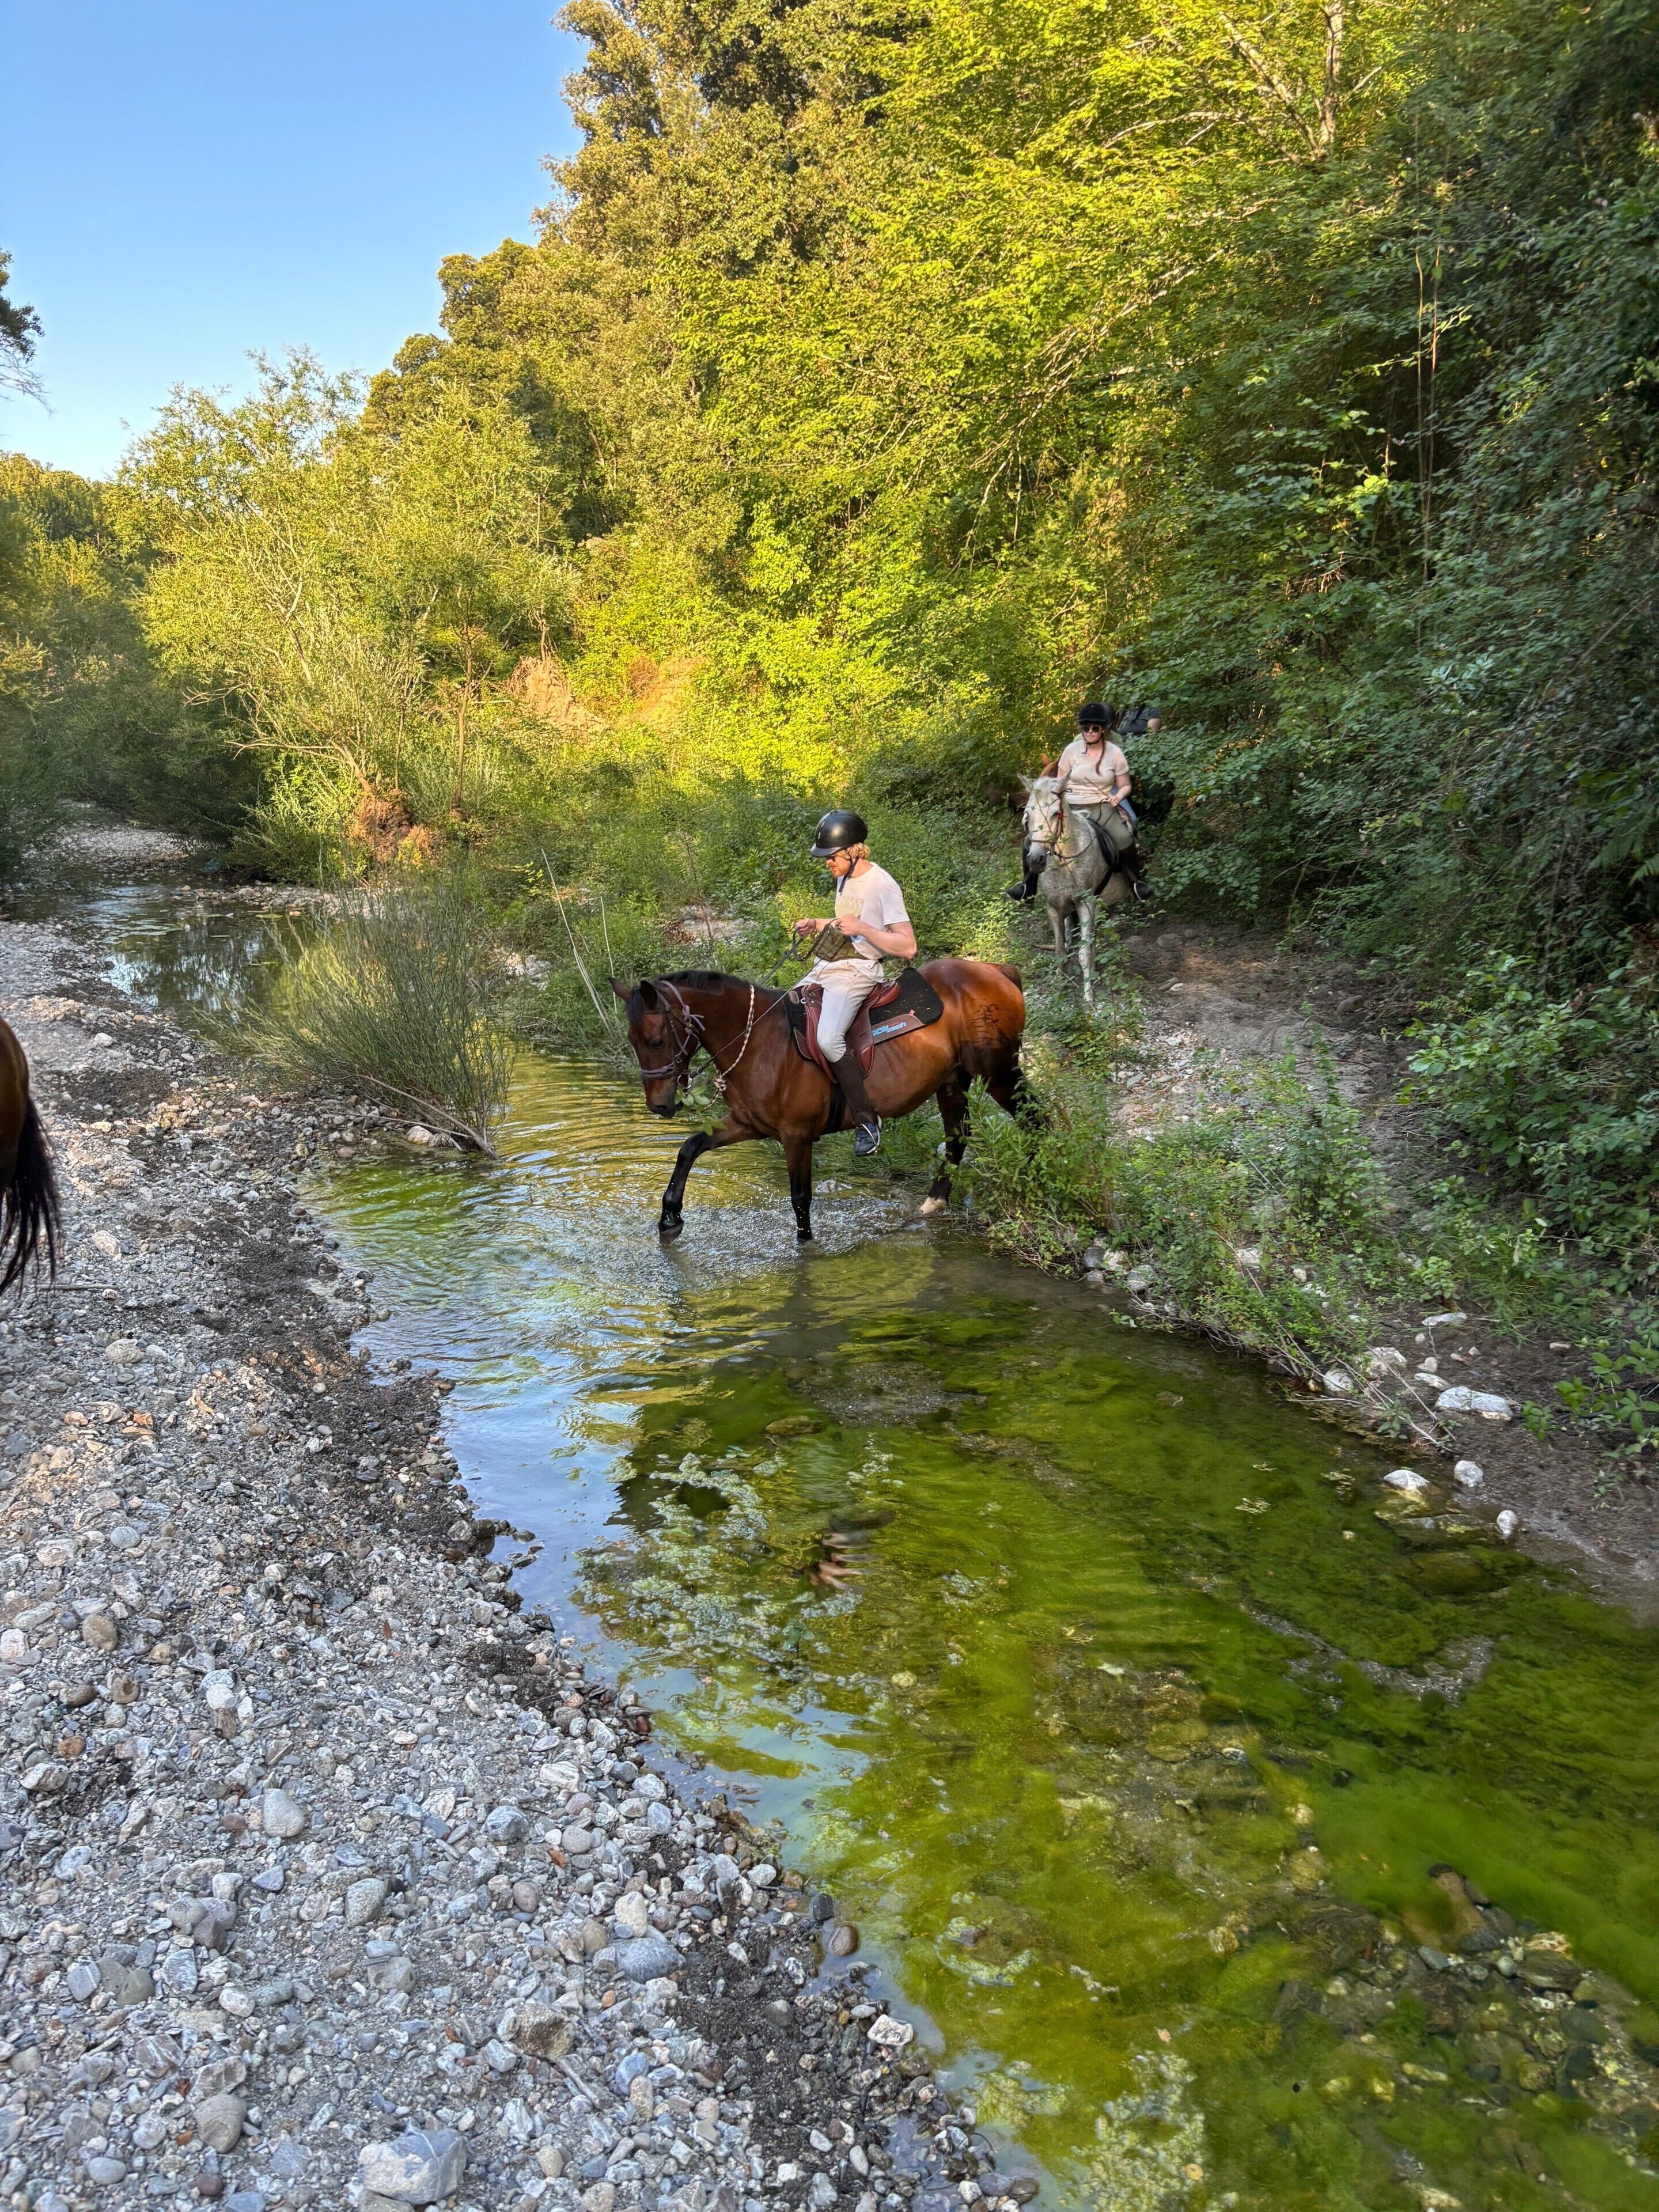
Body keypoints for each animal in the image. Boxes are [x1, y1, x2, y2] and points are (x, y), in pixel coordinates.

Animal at [611, 960, 1033, 1243]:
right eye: (633, 1041)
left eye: (655, 1041)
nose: (660, 1105)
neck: (760, 1041)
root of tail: (996, 971)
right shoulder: (749, 1124)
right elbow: (691, 1146)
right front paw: (670, 1217)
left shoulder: (796, 1135)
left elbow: (800, 1198)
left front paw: (807, 1249)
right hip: (951, 1082)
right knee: (957, 1138)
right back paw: (934, 1203)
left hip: (999, 1073)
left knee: (1033, 1118)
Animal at [1018, 776, 1134, 1011]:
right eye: (1027, 814)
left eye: (1056, 813)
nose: (1035, 860)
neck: (1065, 862)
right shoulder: (1053, 908)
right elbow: (1060, 951)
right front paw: (1059, 988)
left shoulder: (1086, 904)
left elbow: (1084, 952)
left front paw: (1088, 997)